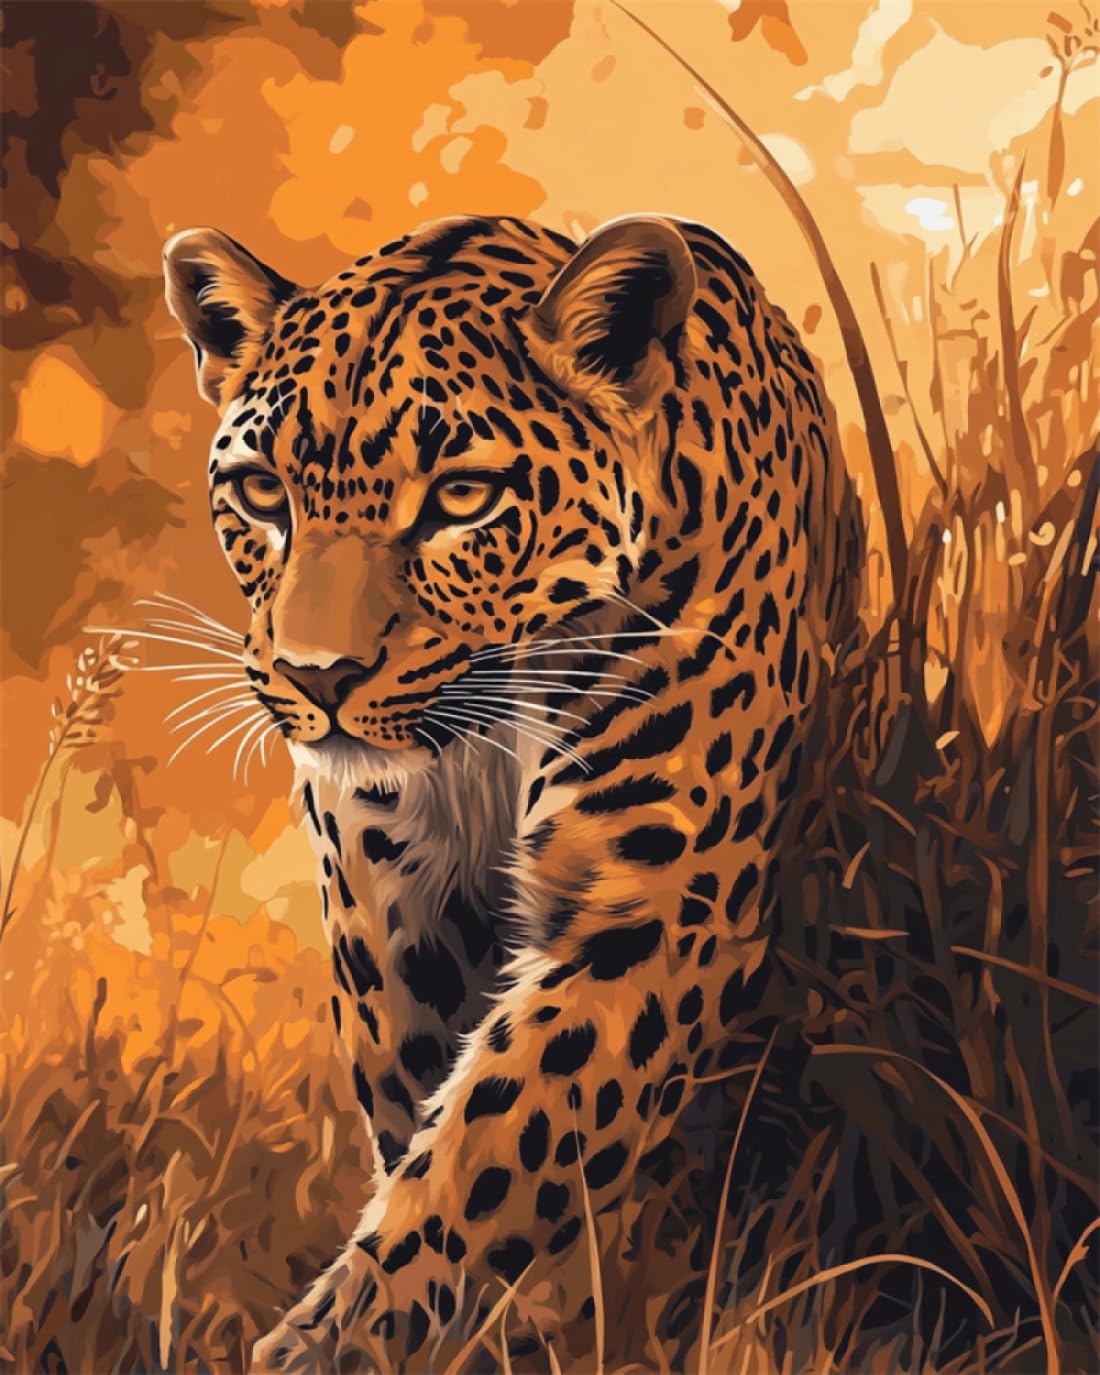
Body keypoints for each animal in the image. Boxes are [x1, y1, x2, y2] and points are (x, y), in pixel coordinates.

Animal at [163, 210, 863, 1371]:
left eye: (461, 497)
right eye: (263, 493)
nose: (316, 676)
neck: (485, 735)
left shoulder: (654, 911)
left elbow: (495, 1143)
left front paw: (340, 1339)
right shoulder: (393, 914)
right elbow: (431, 1112)